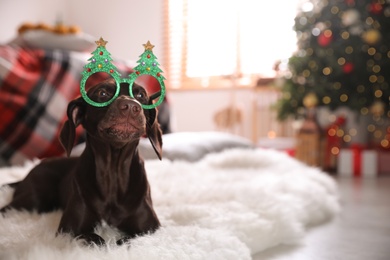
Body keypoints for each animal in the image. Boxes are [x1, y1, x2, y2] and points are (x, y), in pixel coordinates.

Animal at [0, 79, 162, 246]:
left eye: (141, 95)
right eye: (102, 93)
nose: (130, 106)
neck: (113, 173)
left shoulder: (150, 229)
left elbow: (125, 240)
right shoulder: (69, 229)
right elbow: (98, 238)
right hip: (35, 198)